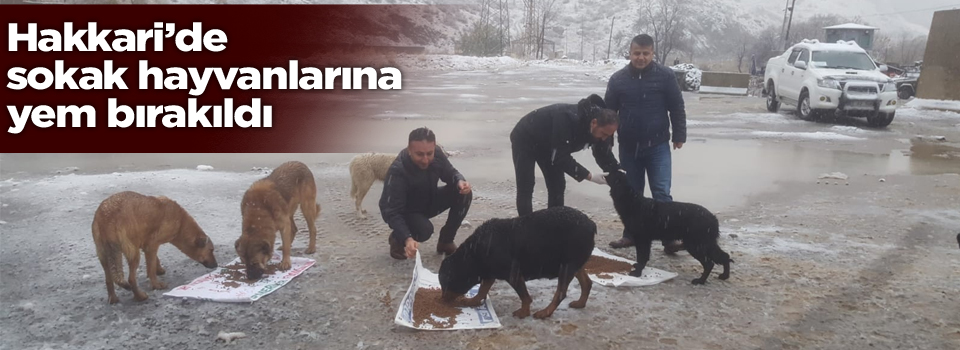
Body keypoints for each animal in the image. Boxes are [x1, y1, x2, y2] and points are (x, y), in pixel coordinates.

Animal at [90, 191, 218, 304]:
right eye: (211, 250)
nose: (216, 265)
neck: (181, 223)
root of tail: (107, 218)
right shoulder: (152, 245)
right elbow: (151, 268)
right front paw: (156, 285)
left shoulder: (147, 245)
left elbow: (154, 260)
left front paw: (159, 269)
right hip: (133, 254)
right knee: (131, 279)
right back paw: (140, 297)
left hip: (103, 254)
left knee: (109, 279)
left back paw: (113, 299)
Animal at [604, 170, 732, 284]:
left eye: (613, 174)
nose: (605, 173)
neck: (633, 202)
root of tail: (713, 219)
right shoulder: (645, 240)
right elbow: (643, 258)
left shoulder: (642, 239)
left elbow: (641, 257)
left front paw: (637, 273)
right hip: (706, 244)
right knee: (725, 256)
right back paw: (724, 276)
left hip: (695, 245)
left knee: (709, 263)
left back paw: (700, 281)